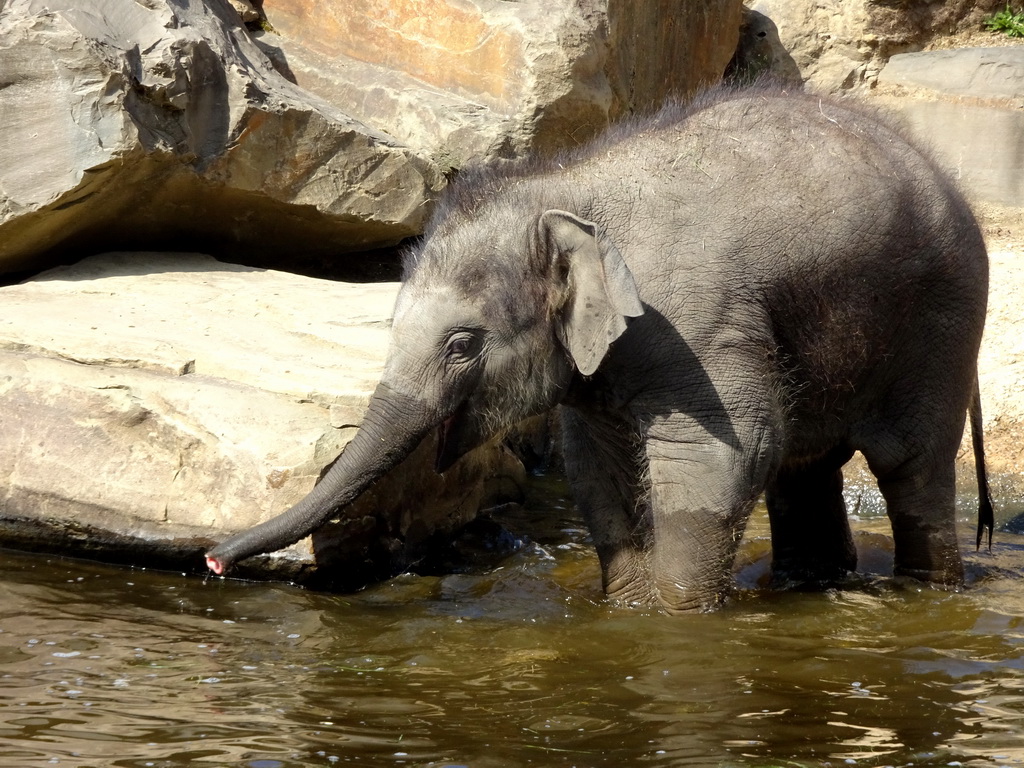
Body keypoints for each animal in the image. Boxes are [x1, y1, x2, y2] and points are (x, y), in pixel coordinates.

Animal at [203, 85, 995, 614]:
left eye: (462, 344)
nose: (212, 560)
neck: (564, 188)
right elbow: (596, 466)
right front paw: (628, 609)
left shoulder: (701, 330)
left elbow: (725, 454)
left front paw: (676, 619)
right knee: (806, 471)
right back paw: (812, 586)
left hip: (943, 320)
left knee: (910, 463)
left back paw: (924, 591)